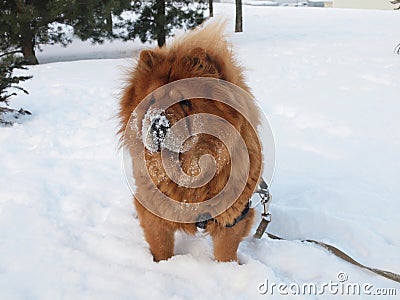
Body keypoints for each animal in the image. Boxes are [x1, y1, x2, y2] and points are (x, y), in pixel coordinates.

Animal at [118, 21, 262, 262]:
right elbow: (161, 247)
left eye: (185, 102)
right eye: (152, 100)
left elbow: (225, 252)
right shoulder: (155, 214)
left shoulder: (232, 217)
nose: (158, 124)